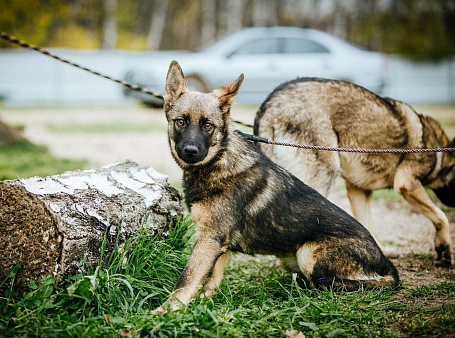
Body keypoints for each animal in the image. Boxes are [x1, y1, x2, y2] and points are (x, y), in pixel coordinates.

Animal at [157, 62, 400, 312]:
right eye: (181, 122)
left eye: (207, 125)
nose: (190, 151)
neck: (220, 160)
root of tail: (387, 264)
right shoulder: (217, 243)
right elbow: (212, 278)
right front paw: (205, 302)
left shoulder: (209, 240)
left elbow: (186, 281)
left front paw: (165, 312)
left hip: (308, 253)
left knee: (342, 285)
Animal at [255, 78, 454, 266]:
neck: (438, 149)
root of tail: (268, 108)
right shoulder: (407, 183)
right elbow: (441, 216)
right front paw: (444, 249)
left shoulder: (359, 191)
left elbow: (368, 224)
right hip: (322, 176)